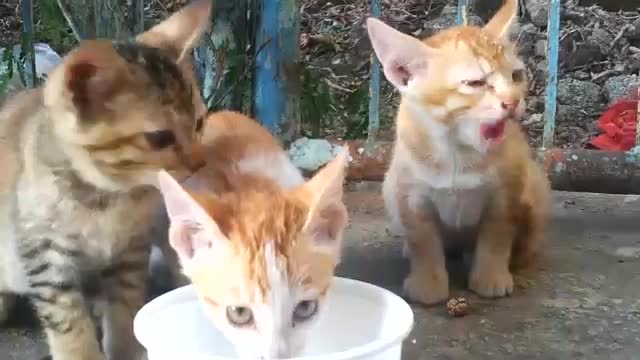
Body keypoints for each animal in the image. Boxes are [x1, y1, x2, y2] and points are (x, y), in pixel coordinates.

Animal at [0, 1, 212, 358]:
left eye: (199, 123)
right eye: (159, 138)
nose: (200, 165)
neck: (109, 199)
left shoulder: (131, 252)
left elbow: (125, 311)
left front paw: (126, 348)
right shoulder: (46, 257)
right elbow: (70, 325)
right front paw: (81, 351)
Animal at [364, 0, 552, 306]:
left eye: (516, 76)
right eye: (475, 83)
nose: (512, 102)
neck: (457, 150)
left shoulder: (506, 192)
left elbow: (497, 236)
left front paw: (491, 275)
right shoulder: (410, 195)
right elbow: (423, 241)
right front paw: (428, 282)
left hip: (534, 185)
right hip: (389, 186)